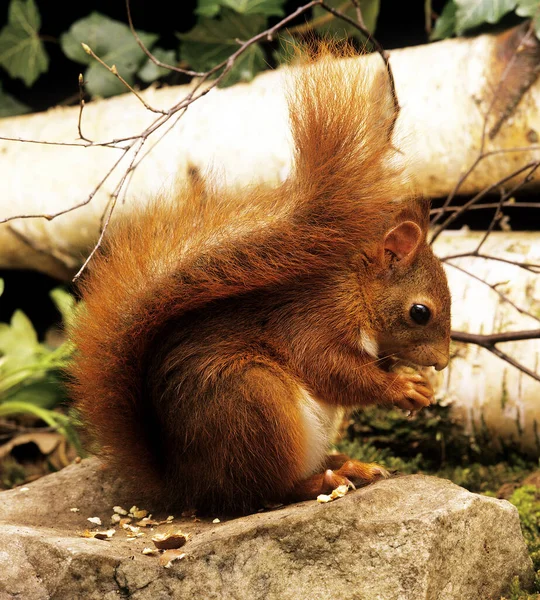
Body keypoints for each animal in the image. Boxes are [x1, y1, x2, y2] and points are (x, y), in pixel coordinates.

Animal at [69, 48, 454, 516]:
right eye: (420, 312)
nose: (442, 362)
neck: (357, 292)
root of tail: (188, 487)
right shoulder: (315, 321)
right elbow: (333, 370)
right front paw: (402, 387)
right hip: (255, 404)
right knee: (264, 491)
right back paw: (323, 480)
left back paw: (349, 465)